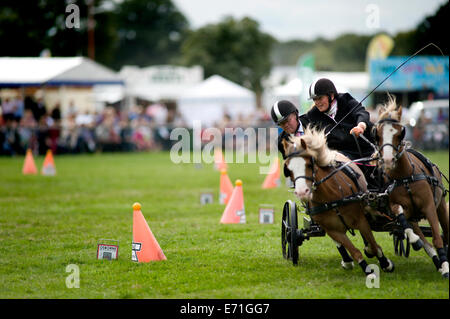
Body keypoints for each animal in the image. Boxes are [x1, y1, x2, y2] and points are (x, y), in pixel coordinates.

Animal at [284, 126, 394, 278]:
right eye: (289, 169)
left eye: (309, 164)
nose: (301, 192)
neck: (332, 199)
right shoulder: (333, 230)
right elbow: (354, 251)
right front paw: (367, 271)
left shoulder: (361, 220)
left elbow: (373, 245)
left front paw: (385, 263)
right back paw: (347, 261)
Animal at [372, 97, 450, 278]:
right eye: (377, 133)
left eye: (400, 132)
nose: (387, 160)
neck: (405, 177)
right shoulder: (402, 209)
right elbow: (400, 216)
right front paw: (413, 240)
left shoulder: (429, 207)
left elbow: (437, 238)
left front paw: (446, 267)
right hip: (415, 218)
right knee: (424, 240)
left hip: (441, 206)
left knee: (445, 234)